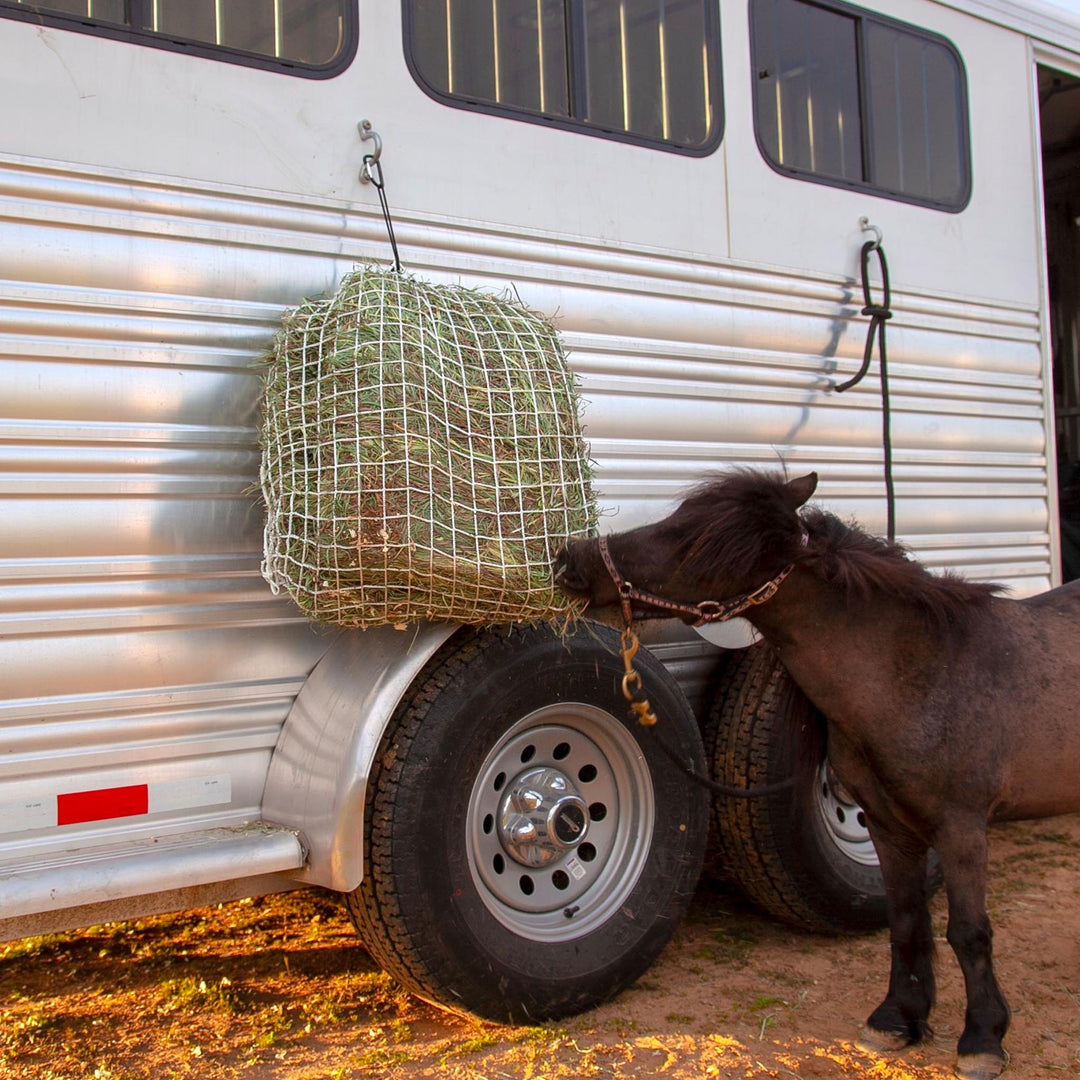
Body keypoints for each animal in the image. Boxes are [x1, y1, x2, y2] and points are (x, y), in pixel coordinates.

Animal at [552, 470, 1080, 1080]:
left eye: (694, 543)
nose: (571, 560)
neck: (923, 671)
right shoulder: (888, 826)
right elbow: (905, 918)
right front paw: (898, 1018)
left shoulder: (962, 827)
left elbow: (968, 932)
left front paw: (982, 1038)